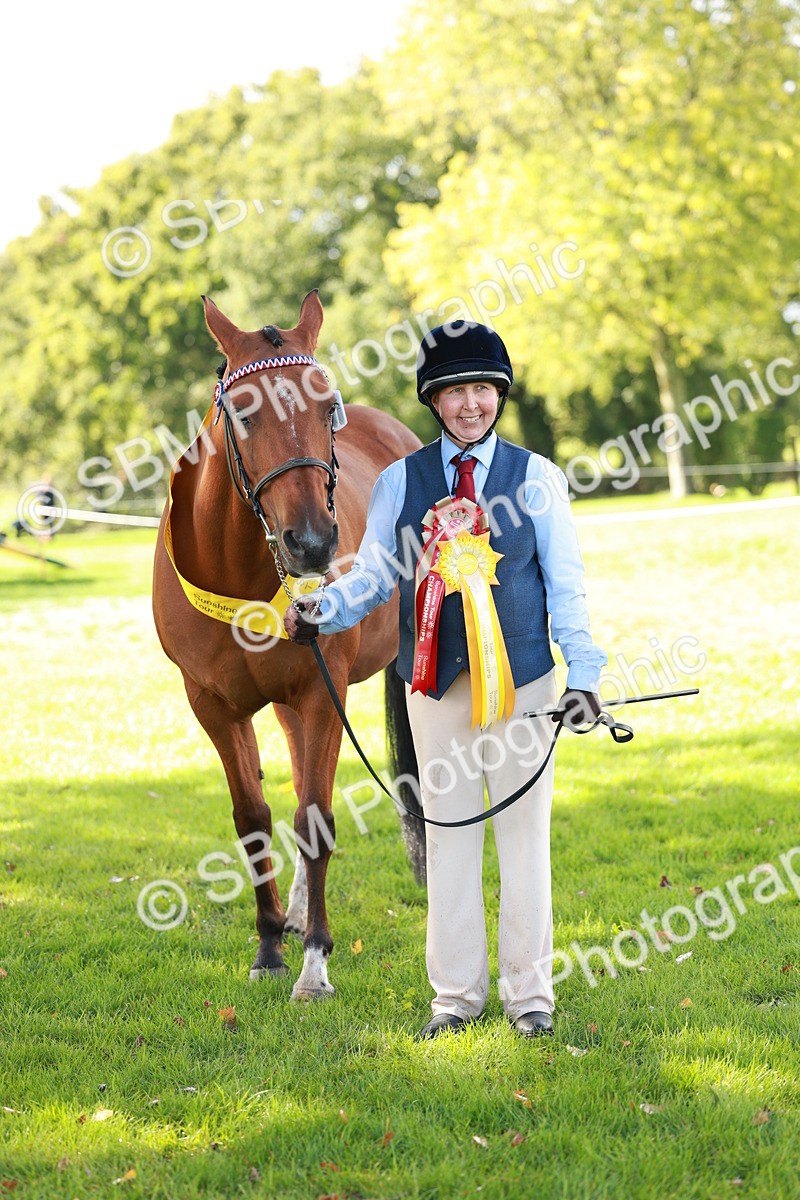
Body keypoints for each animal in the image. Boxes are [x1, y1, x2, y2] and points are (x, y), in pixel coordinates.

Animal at [152, 290, 424, 1000]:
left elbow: (315, 821)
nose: (313, 543)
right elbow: (254, 821)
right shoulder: (214, 705)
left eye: (327, 407)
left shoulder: (323, 695)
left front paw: (315, 964)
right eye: (244, 413)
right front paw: (271, 946)